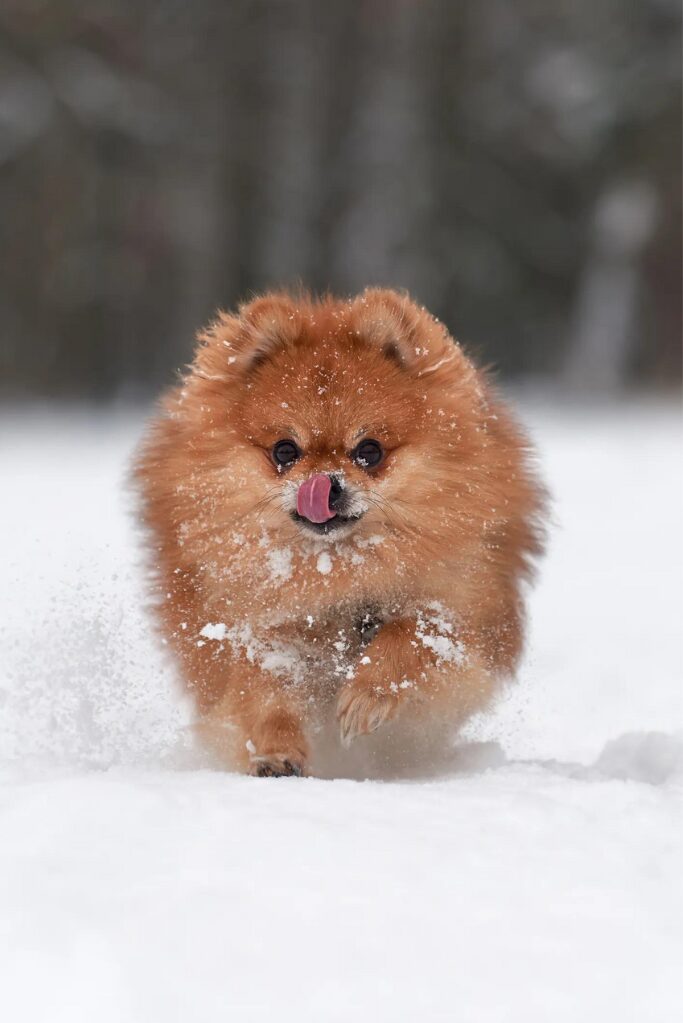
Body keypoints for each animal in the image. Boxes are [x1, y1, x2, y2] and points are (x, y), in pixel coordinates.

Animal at [134, 288, 543, 773]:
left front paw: (368, 695)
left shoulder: (464, 622)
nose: (324, 484)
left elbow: (410, 635)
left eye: (369, 450)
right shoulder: (256, 633)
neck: (335, 573)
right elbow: (263, 693)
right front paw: (276, 752)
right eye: (285, 451)